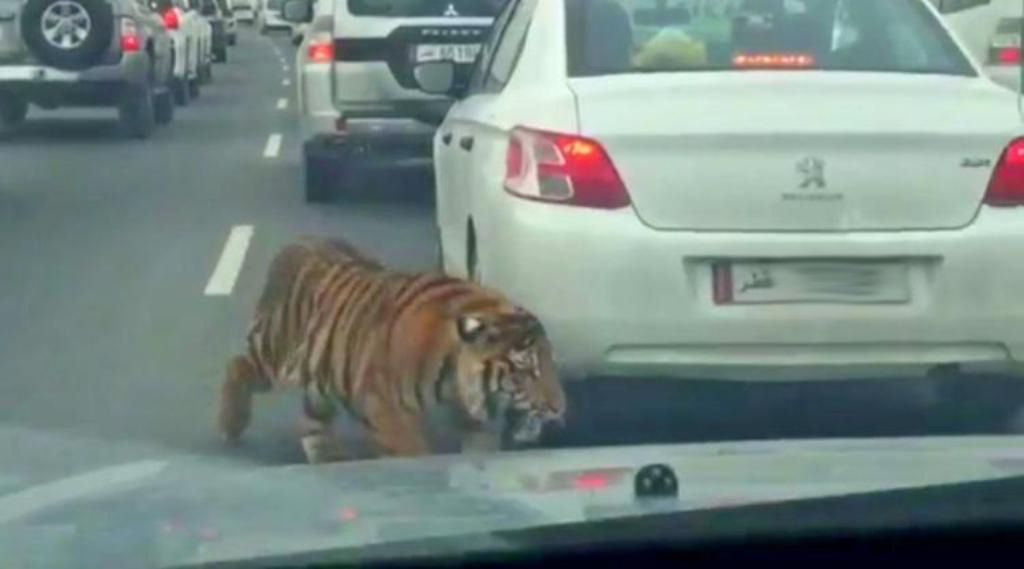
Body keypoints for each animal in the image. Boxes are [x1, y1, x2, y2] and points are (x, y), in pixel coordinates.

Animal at [216, 237, 566, 463]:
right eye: (526, 370)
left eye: (552, 366)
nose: (558, 409)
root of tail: (298, 243)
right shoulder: (386, 406)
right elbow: (411, 450)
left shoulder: (475, 419)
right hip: (276, 352)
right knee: (237, 364)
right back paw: (230, 425)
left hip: (319, 379)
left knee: (313, 424)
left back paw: (330, 459)